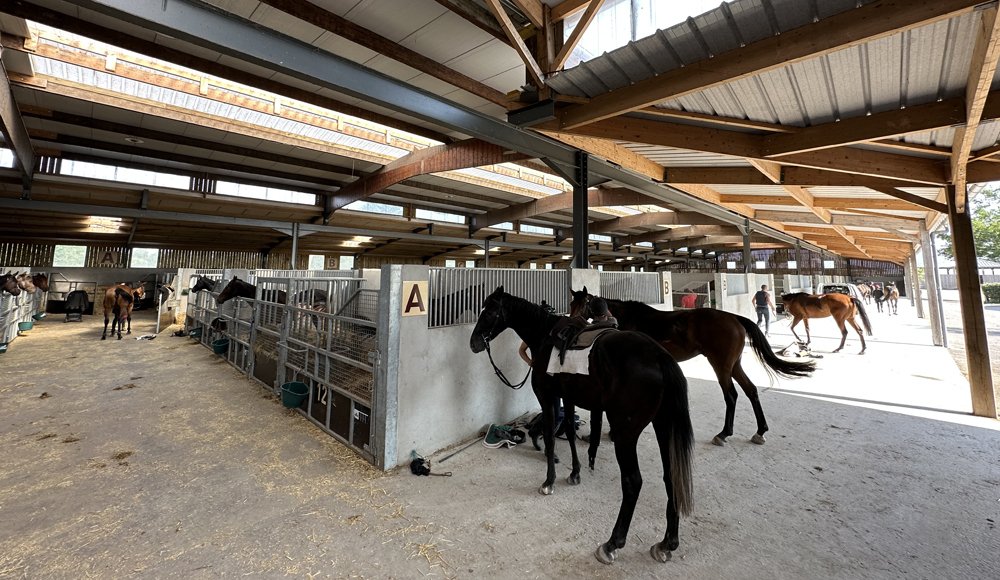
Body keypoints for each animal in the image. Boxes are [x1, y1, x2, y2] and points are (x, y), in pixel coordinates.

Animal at [470, 287, 694, 565]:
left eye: (489, 312)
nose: (474, 342)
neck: (544, 336)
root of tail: (661, 358)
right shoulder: (568, 398)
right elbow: (569, 431)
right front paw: (575, 473)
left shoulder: (547, 397)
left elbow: (551, 436)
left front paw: (549, 482)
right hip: (663, 426)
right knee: (670, 475)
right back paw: (666, 543)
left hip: (626, 433)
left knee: (632, 481)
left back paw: (611, 544)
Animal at [570, 289, 815, 446]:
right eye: (572, 303)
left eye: (583, 304)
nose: (571, 322)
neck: (626, 319)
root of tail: (734, 318)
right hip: (734, 365)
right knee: (751, 390)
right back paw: (759, 431)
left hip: (720, 365)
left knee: (731, 395)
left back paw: (723, 434)